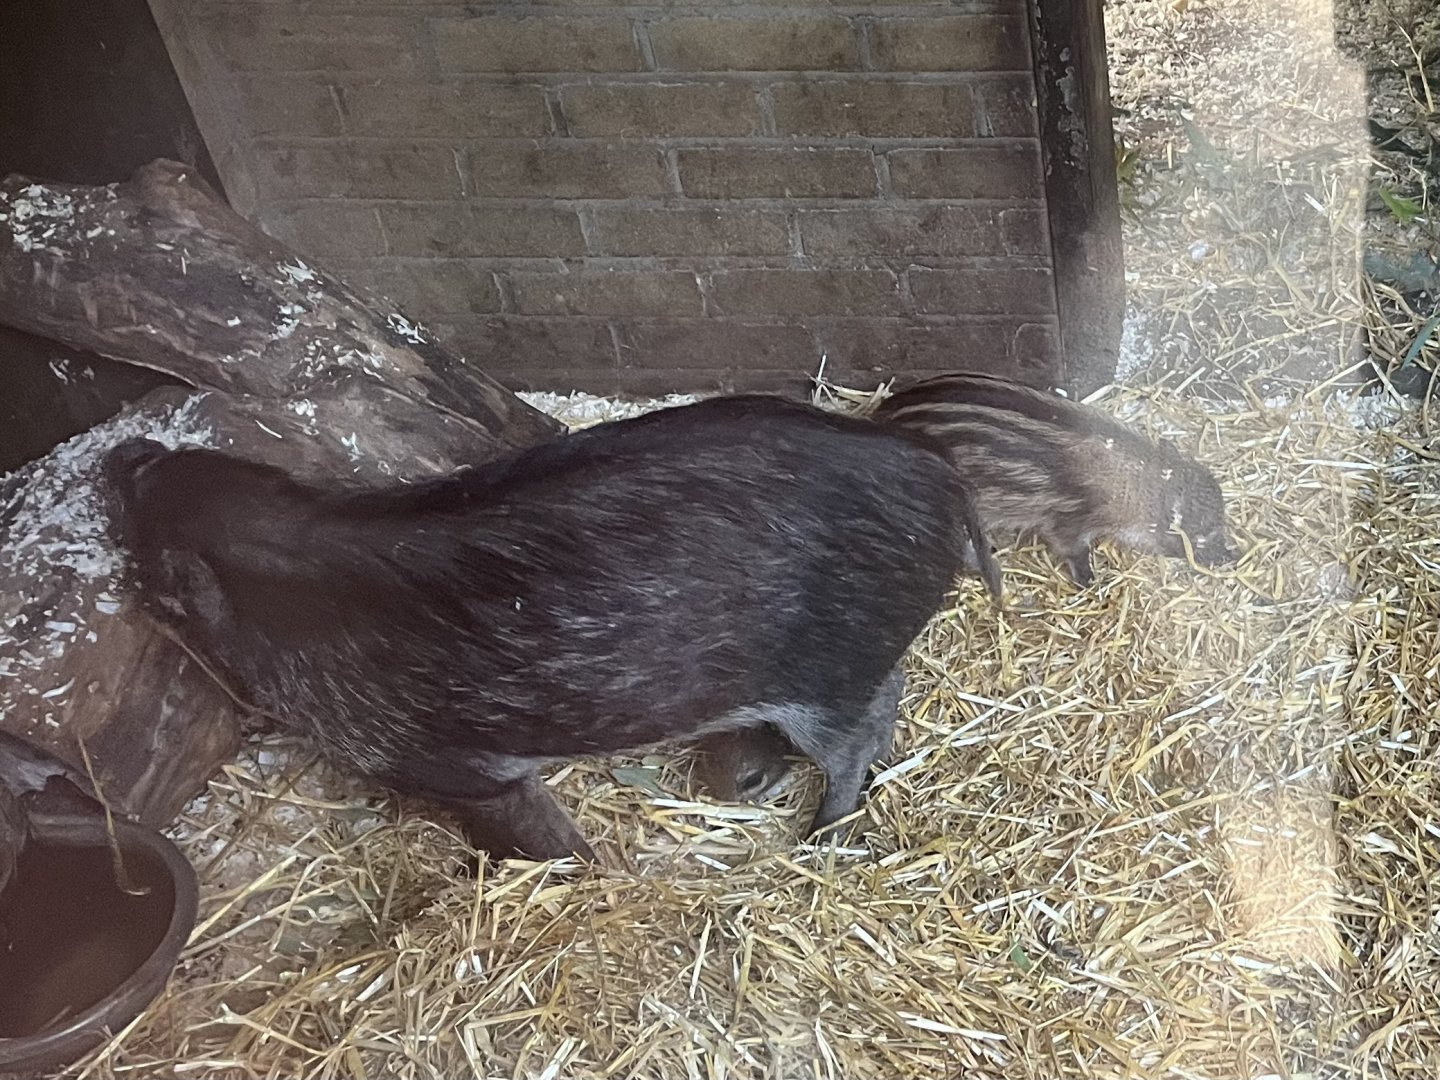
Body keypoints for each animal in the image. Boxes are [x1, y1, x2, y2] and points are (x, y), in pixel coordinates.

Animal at [102, 394, 1000, 861]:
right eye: (178, 466)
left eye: (154, 557)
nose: (124, 455)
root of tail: (938, 471)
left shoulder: (448, 765)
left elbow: (522, 823)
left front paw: (585, 867)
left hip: (830, 675)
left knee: (863, 734)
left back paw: (816, 838)